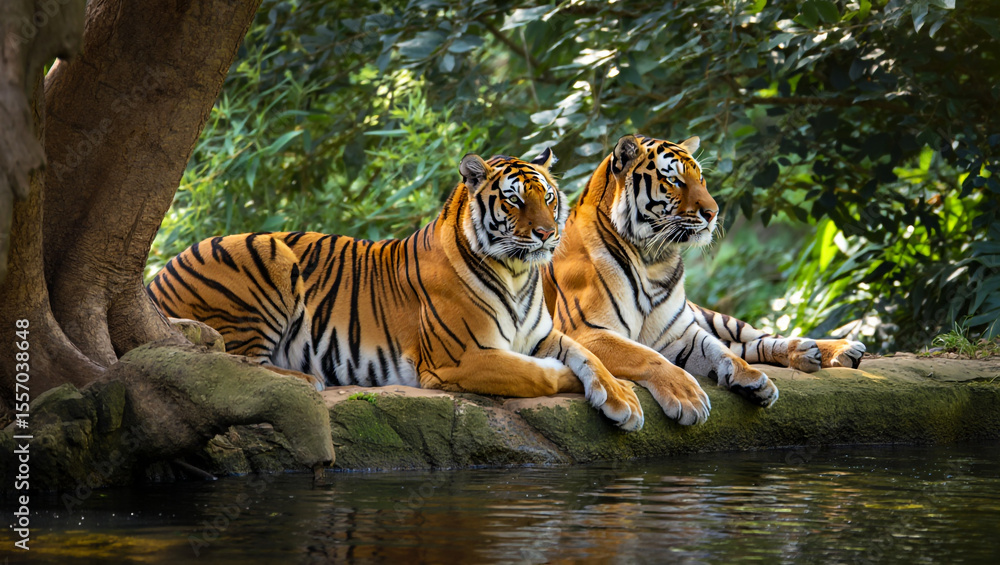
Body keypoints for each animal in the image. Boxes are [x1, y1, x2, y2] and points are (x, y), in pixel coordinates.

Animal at [147, 150, 644, 430]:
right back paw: (307, 379)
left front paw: (619, 397)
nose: (546, 234)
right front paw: (601, 386)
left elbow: (588, 354)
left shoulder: (541, 334)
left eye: (549, 197)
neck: (519, 274)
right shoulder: (463, 357)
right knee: (235, 367)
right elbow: (539, 373)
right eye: (514, 200)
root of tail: (157, 277)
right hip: (267, 253)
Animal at [543, 134, 866, 425]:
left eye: (700, 178)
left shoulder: (678, 332)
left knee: (754, 337)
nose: (713, 213)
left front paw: (748, 377)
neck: (654, 260)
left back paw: (832, 349)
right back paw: (810, 353)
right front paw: (688, 397)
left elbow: (716, 349)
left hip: (713, 317)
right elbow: (646, 356)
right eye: (674, 181)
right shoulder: (587, 332)